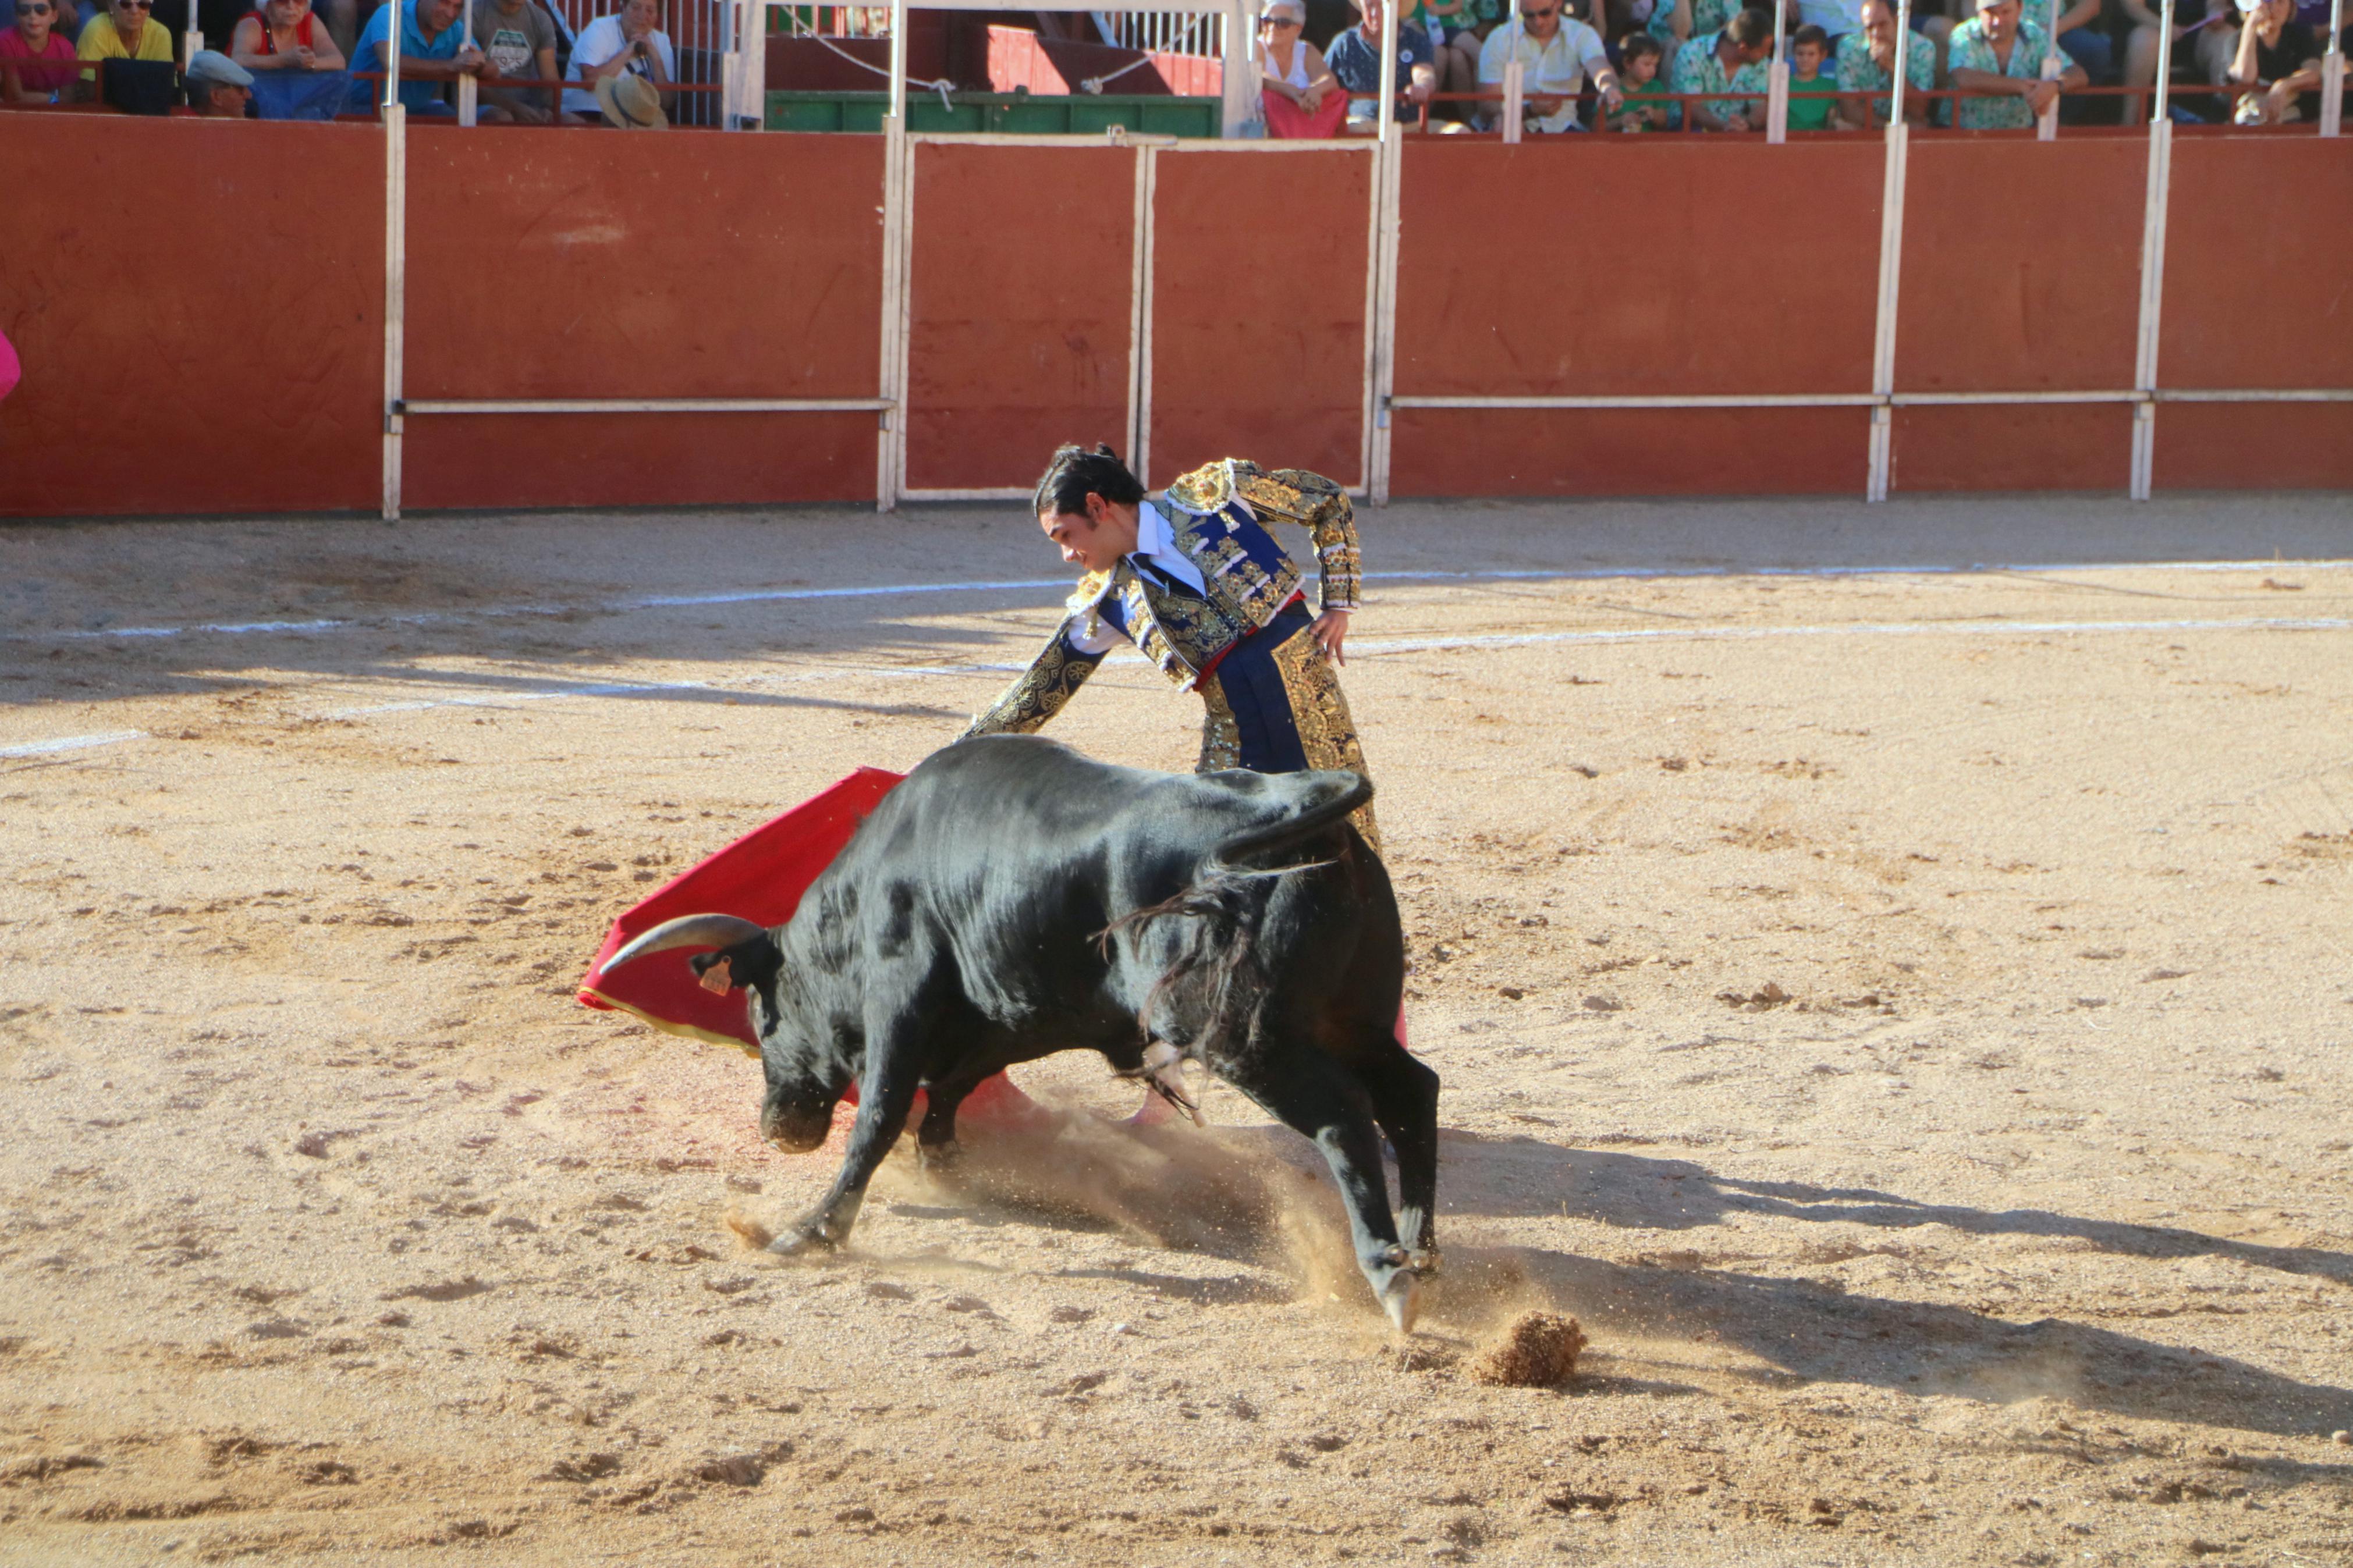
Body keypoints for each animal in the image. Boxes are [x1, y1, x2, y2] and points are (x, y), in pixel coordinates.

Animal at [597, 742, 1440, 1335]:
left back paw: (1388, 1272)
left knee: (1340, 1117)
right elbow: (951, 1085)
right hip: (1351, 1014)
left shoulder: (899, 993)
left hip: (1232, 1031)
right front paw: (947, 1168)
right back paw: (1420, 1252)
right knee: (1410, 1091)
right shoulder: (1018, 1006)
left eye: (762, 1013)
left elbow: (880, 1113)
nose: (777, 1126)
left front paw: (811, 1231)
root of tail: (1303, 803)